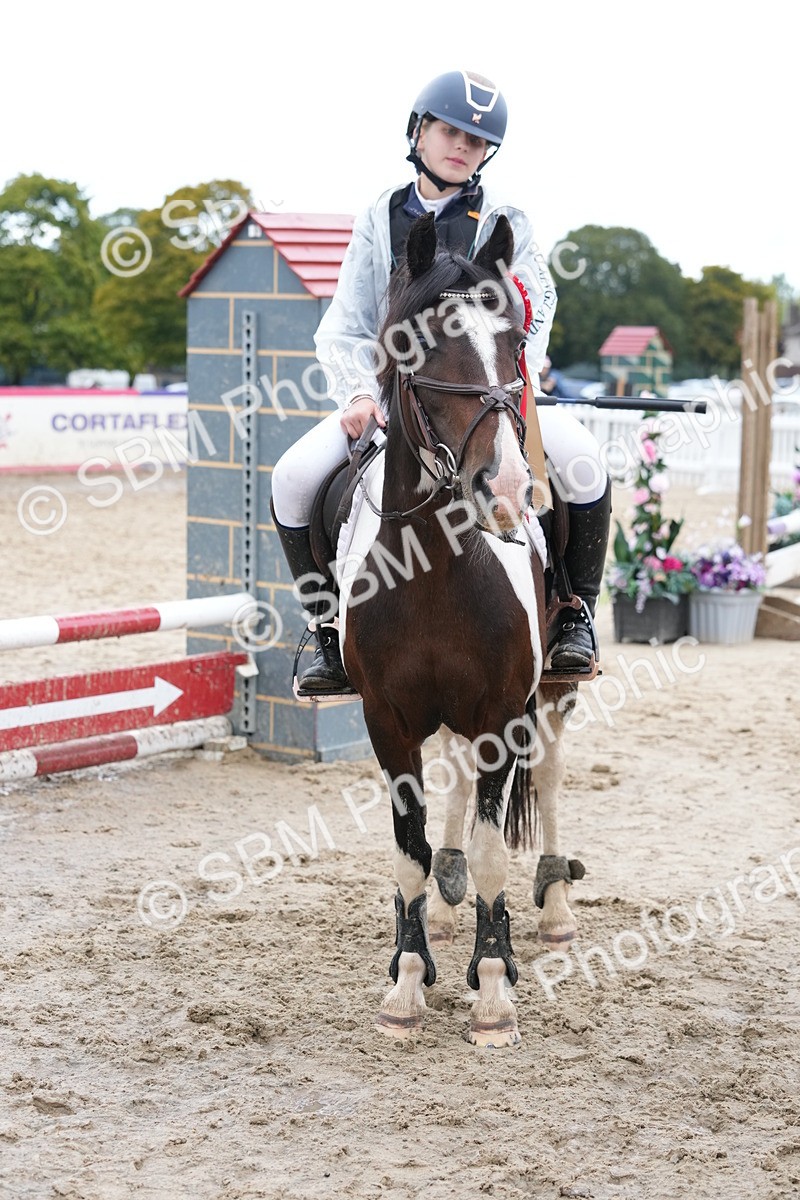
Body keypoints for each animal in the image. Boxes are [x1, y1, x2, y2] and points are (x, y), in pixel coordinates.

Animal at [333, 212, 583, 1047]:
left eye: (515, 337)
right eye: (416, 344)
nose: (504, 488)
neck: (438, 568)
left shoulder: (504, 714)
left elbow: (495, 853)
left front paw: (495, 992)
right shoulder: (387, 719)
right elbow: (408, 853)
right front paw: (408, 983)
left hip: (551, 695)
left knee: (547, 779)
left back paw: (555, 906)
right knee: (451, 796)